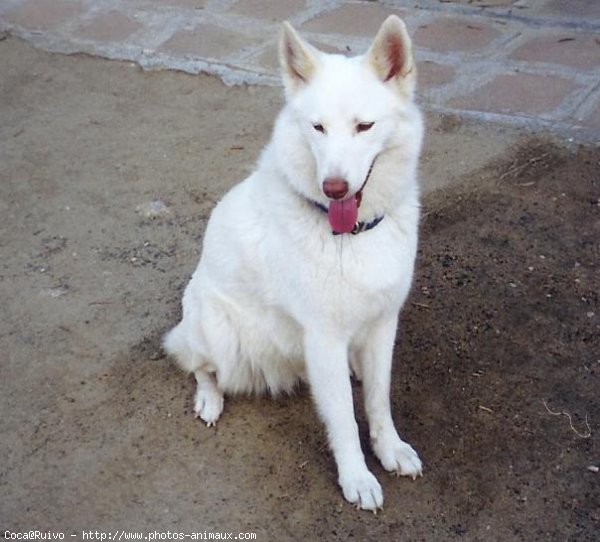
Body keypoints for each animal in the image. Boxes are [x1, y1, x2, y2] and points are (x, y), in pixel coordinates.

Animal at [165, 14, 422, 512]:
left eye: (364, 126)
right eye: (317, 128)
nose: (334, 188)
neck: (349, 235)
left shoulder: (384, 323)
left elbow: (378, 401)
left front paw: (389, 448)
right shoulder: (323, 337)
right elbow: (344, 420)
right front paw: (356, 477)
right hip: (218, 334)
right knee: (200, 366)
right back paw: (209, 399)